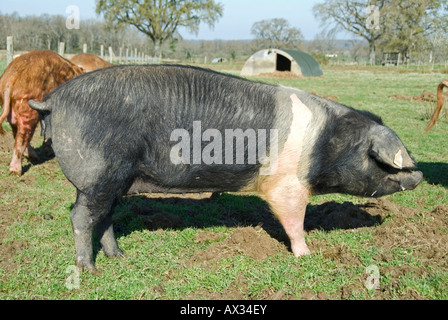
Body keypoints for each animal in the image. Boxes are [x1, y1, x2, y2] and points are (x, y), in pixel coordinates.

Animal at [28, 65, 424, 272]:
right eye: (381, 161)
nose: (419, 174)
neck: (326, 144)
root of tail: (53, 100)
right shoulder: (286, 184)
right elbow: (293, 220)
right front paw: (306, 255)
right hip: (99, 174)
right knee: (81, 216)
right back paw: (88, 269)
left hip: (112, 180)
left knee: (104, 216)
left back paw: (119, 257)